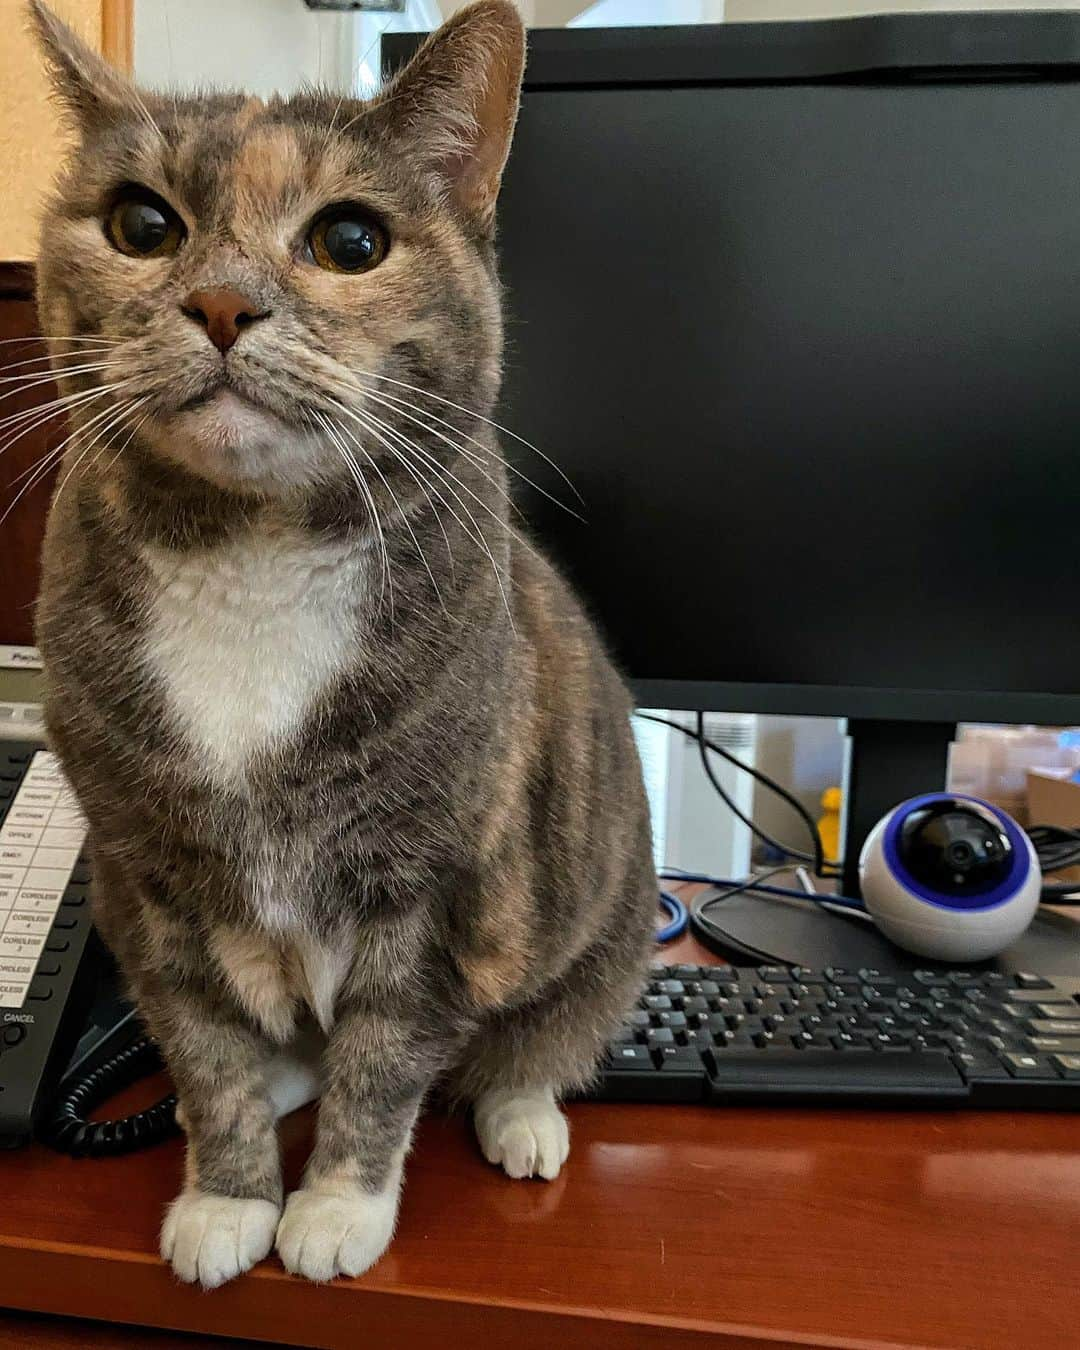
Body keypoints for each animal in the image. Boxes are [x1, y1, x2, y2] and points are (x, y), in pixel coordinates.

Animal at [29, 0, 658, 1285]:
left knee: (531, 1042)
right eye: (141, 225)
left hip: (603, 936)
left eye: (351, 240)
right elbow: (207, 1052)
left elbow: (382, 1062)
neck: (251, 564)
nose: (223, 304)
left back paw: (520, 1116)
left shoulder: (436, 883)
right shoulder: (143, 879)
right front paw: (227, 1198)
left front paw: (335, 1208)